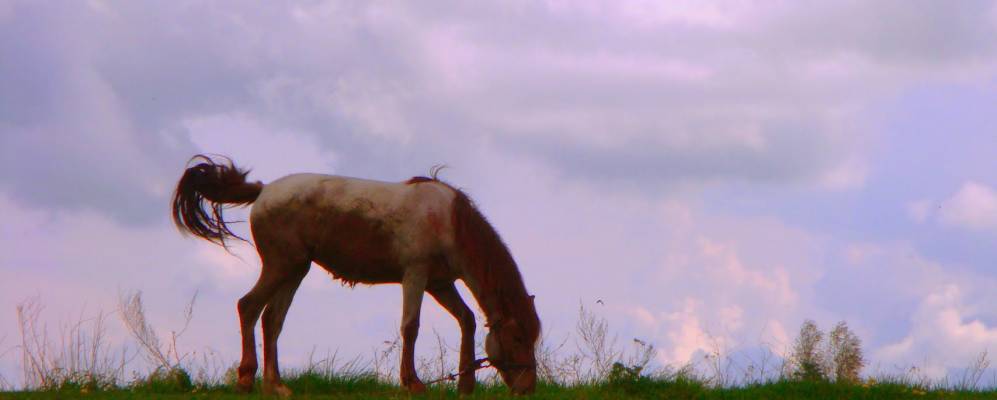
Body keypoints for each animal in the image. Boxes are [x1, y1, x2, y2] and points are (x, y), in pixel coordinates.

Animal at [175, 155, 540, 396]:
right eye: (518, 339)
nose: (528, 388)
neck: (450, 221)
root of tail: (263, 191)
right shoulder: (416, 275)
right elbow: (411, 327)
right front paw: (413, 383)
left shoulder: (440, 284)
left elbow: (467, 320)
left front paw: (465, 384)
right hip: (281, 266)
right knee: (249, 307)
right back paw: (247, 379)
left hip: (295, 270)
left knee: (272, 320)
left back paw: (276, 385)